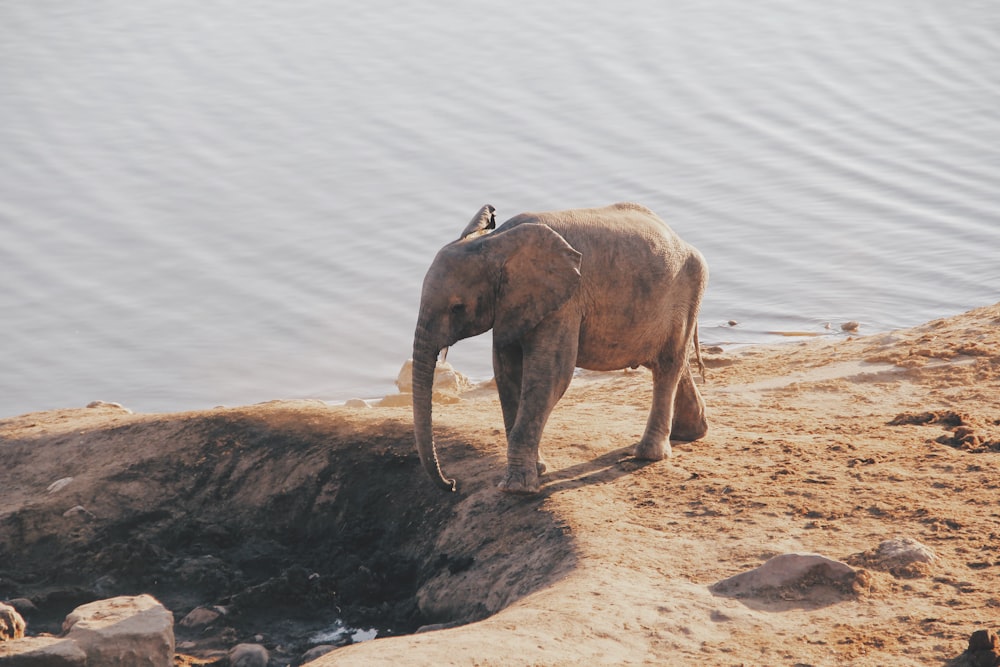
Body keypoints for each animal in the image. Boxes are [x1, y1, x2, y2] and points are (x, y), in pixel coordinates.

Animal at [414, 201, 712, 494]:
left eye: (457, 307)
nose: (452, 484)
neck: (496, 242)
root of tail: (681, 238)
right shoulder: (512, 304)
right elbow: (506, 372)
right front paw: (537, 470)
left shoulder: (566, 303)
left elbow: (550, 376)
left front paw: (516, 488)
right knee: (672, 363)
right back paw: (691, 433)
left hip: (687, 290)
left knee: (667, 367)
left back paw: (649, 455)